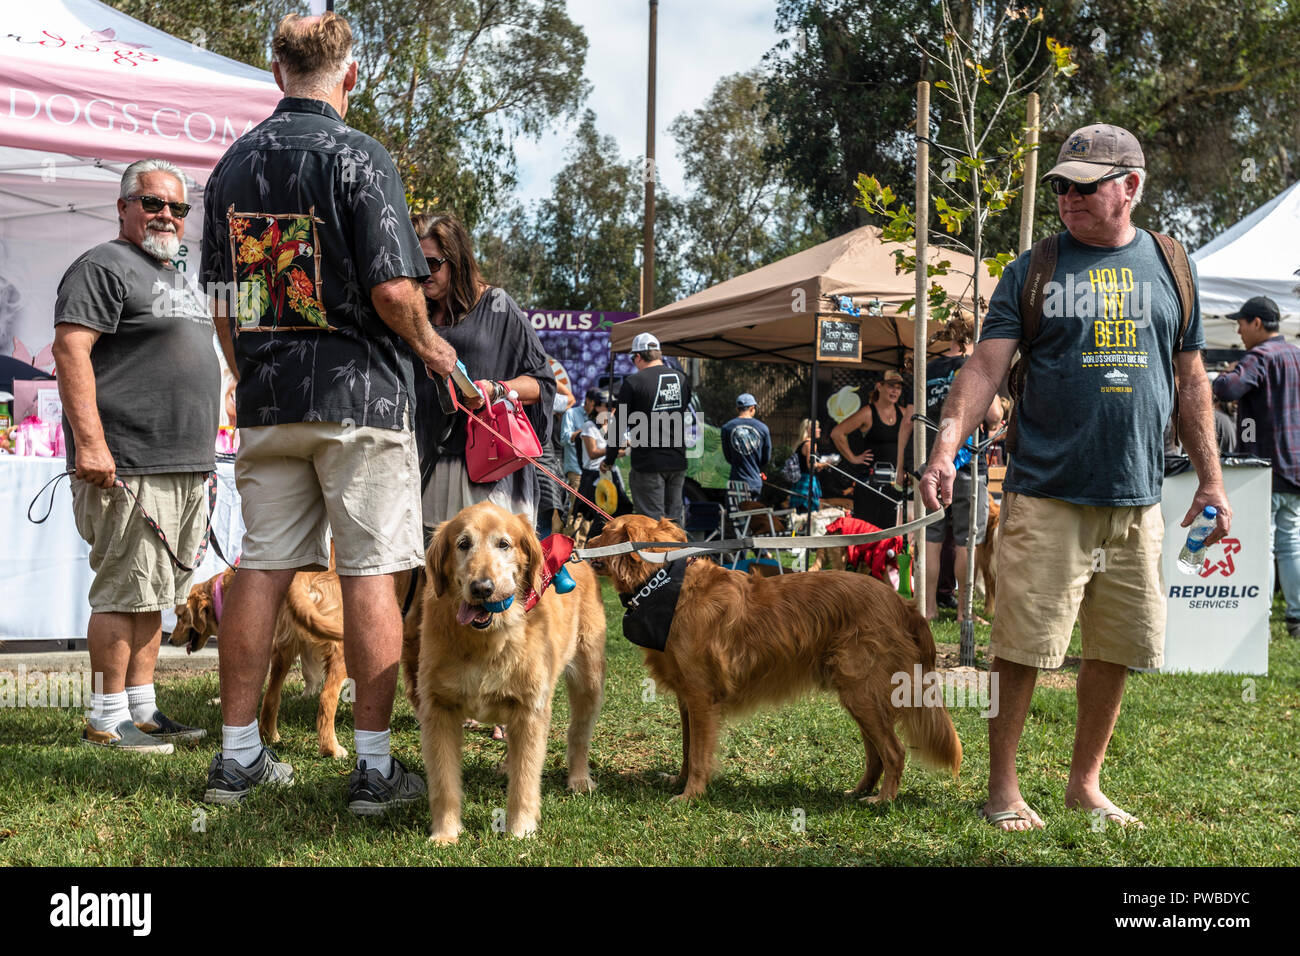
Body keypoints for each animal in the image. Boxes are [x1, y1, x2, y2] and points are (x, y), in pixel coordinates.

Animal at [170, 567, 351, 764]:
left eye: (179, 616)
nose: (170, 640)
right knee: (326, 697)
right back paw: (331, 749)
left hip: (285, 646)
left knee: (271, 696)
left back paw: (269, 736)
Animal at [413, 504, 605, 842]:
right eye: (463, 544)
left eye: (504, 544)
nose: (482, 588)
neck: (487, 641)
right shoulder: (438, 709)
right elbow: (444, 782)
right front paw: (446, 834)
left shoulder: (530, 710)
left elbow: (526, 778)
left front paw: (520, 830)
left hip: (589, 681)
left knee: (578, 734)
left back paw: (580, 779)